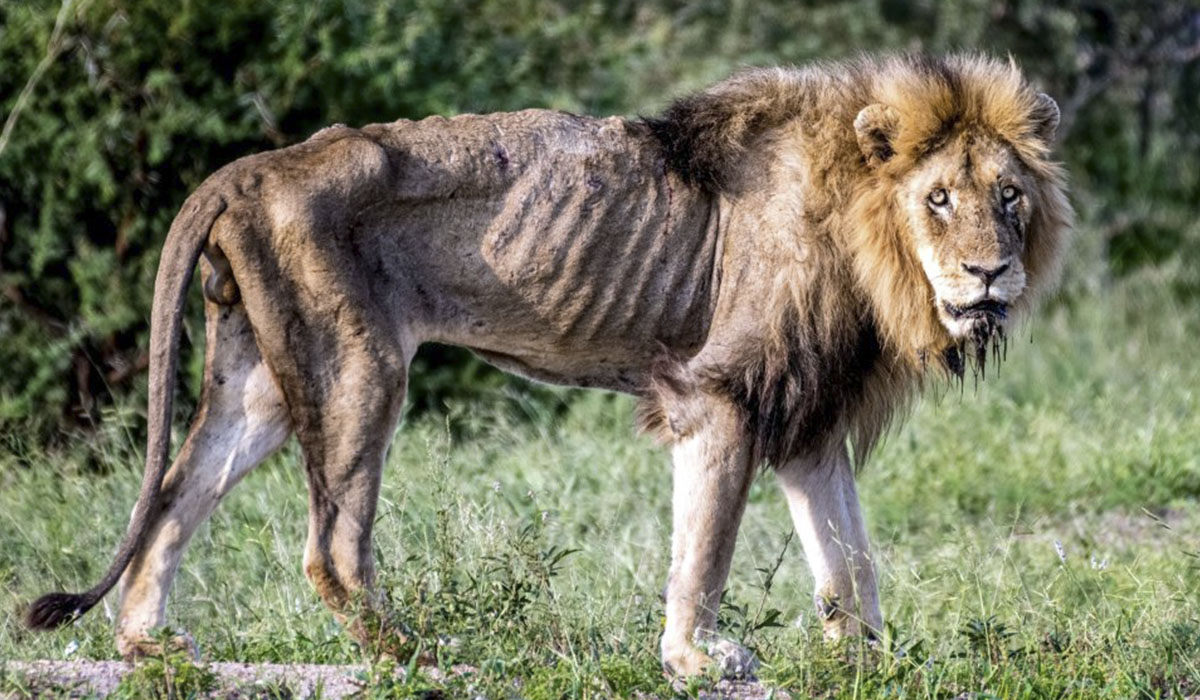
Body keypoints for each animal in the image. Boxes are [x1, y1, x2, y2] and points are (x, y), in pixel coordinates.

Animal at [23, 51, 1075, 677]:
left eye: (1009, 196)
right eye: (938, 199)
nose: (989, 273)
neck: (865, 234)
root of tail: (247, 169)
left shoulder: (807, 413)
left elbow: (850, 561)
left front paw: (867, 663)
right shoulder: (721, 394)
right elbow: (706, 551)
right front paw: (696, 657)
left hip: (261, 384)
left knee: (174, 495)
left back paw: (152, 644)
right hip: (360, 367)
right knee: (330, 549)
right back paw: (424, 651)